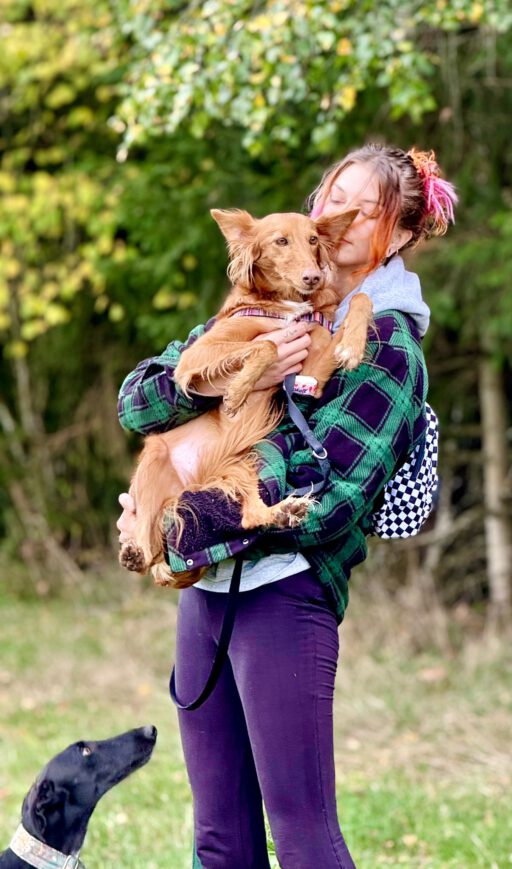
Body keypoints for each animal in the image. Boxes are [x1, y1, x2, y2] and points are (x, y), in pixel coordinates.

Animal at [119, 208, 373, 589]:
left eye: (313, 239)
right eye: (281, 241)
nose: (313, 277)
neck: (284, 304)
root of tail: (193, 483)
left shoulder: (313, 370)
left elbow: (360, 299)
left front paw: (353, 346)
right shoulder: (195, 355)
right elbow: (266, 344)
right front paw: (238, 390)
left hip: (251, 457)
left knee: (250, 517)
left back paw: (283, 512)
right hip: (155, 459)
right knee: (148, 551)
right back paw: (134, 552)